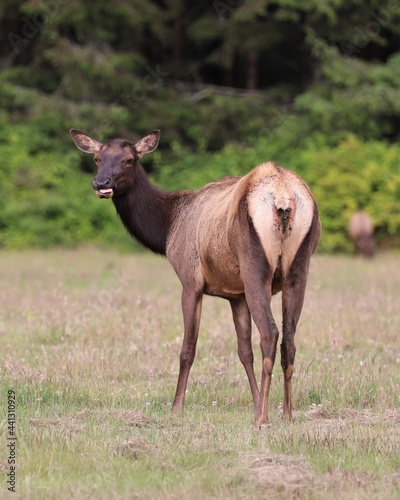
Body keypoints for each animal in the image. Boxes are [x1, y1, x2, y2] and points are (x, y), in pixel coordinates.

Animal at [71, 129, 322, 426]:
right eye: (97, 158)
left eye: (130, 159)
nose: (101, 184)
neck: (167, 228)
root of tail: (283, 195)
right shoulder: (236, 294)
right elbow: (244, 351)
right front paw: (255, 400)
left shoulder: (190, 281)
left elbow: (187, 349)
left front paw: (176, 406)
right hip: (299, 268)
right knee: (289, 339)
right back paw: (287, 413)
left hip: (255, 268)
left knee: (270, 333)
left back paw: (262, 418)